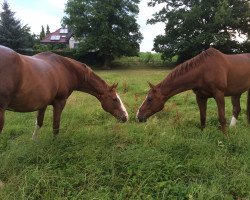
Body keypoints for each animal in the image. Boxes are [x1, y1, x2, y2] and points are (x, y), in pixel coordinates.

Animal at [0, 45, 128, 139]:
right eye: (115, 99)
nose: (126, 117)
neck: (67, 69)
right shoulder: (60, 102)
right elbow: (55, 127)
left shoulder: (42, 104)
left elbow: (39, 123)